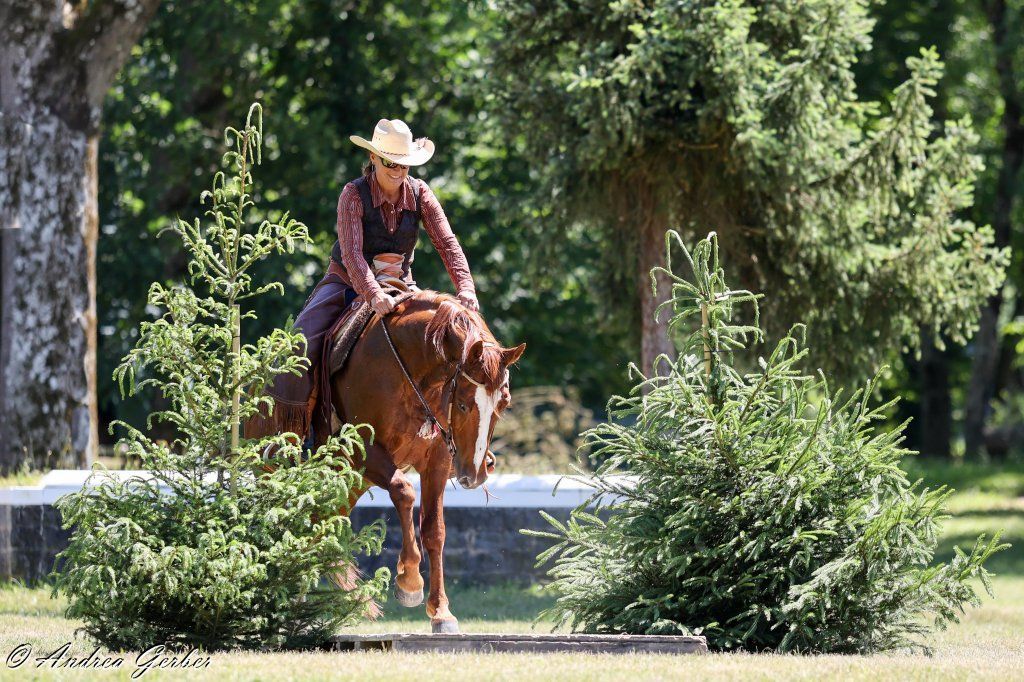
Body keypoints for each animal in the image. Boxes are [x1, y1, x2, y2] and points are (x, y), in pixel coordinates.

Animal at [328, 290, 525, 633]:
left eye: (504, 403)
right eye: (463, 404)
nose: (475, 474)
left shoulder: (436, 462)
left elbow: (434, 529)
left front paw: (441, 612)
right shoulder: (366, 448)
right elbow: (404, 491)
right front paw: (409, 581)